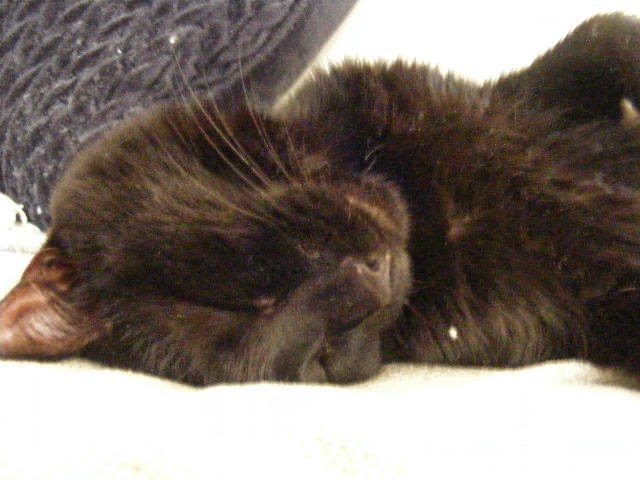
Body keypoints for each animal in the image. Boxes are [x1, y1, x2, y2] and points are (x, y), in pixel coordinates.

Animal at [1, 13, 640, 386]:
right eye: (305, 351)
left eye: (237, 297)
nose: (368, 285)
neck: (432, 217)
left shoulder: (495, 97)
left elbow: (606, 33)